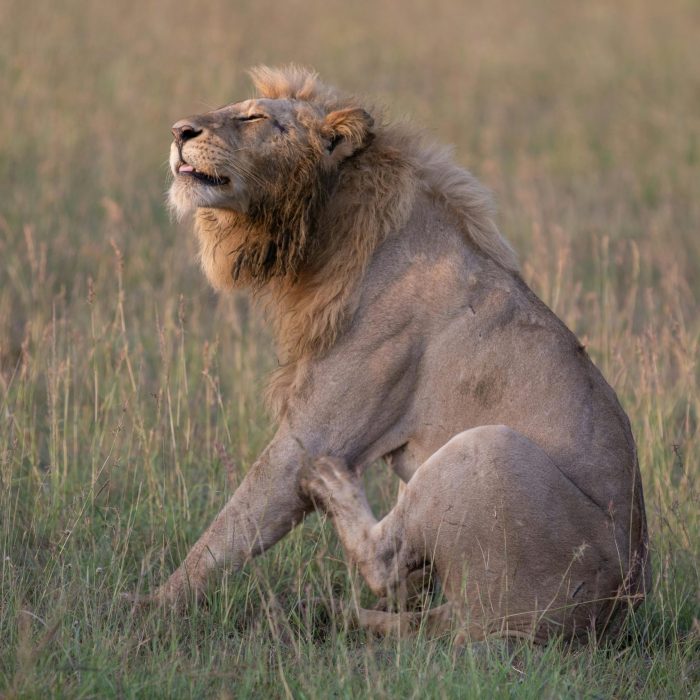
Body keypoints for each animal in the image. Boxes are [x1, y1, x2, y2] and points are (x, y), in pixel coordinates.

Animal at [134, 65, 650, 643]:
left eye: (255, 117)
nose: (179, 131)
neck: (323, 232)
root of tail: (607, 616)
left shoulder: (314, 432)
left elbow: (230, 528)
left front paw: (149, 606)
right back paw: (318, 610)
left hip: (486, 449)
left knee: (385, 562)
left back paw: (331, 489)